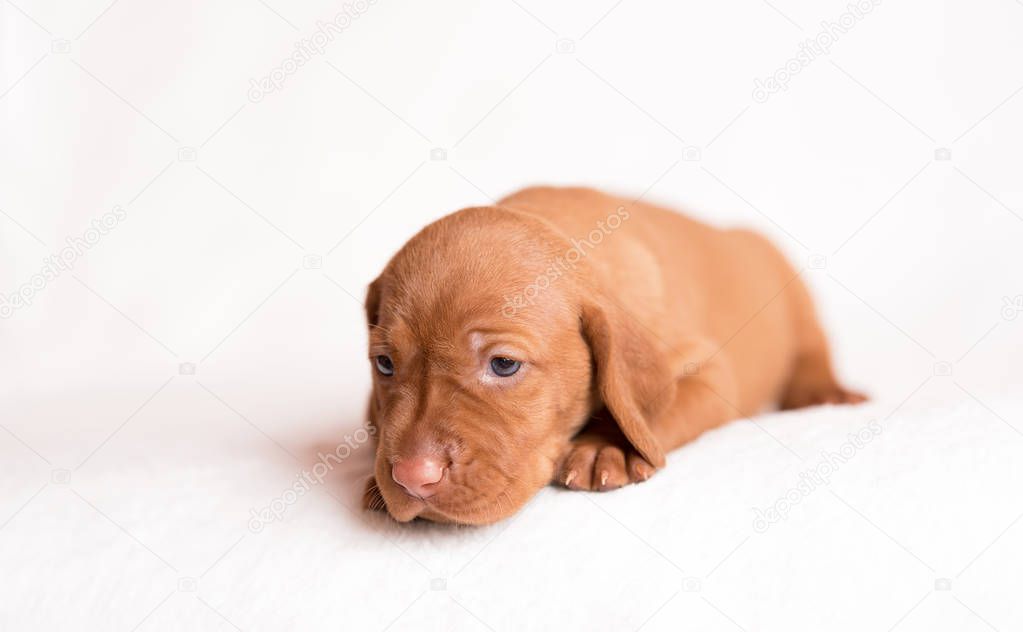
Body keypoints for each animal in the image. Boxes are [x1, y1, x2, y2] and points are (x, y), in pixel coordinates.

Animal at [362, 186, 863, 521]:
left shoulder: (710, 374)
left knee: (811, 346)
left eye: (504, 365)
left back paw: (824, 391)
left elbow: (649, 412)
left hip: (791, 288)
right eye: (384, 364)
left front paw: (609, 446)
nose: (412, 477)